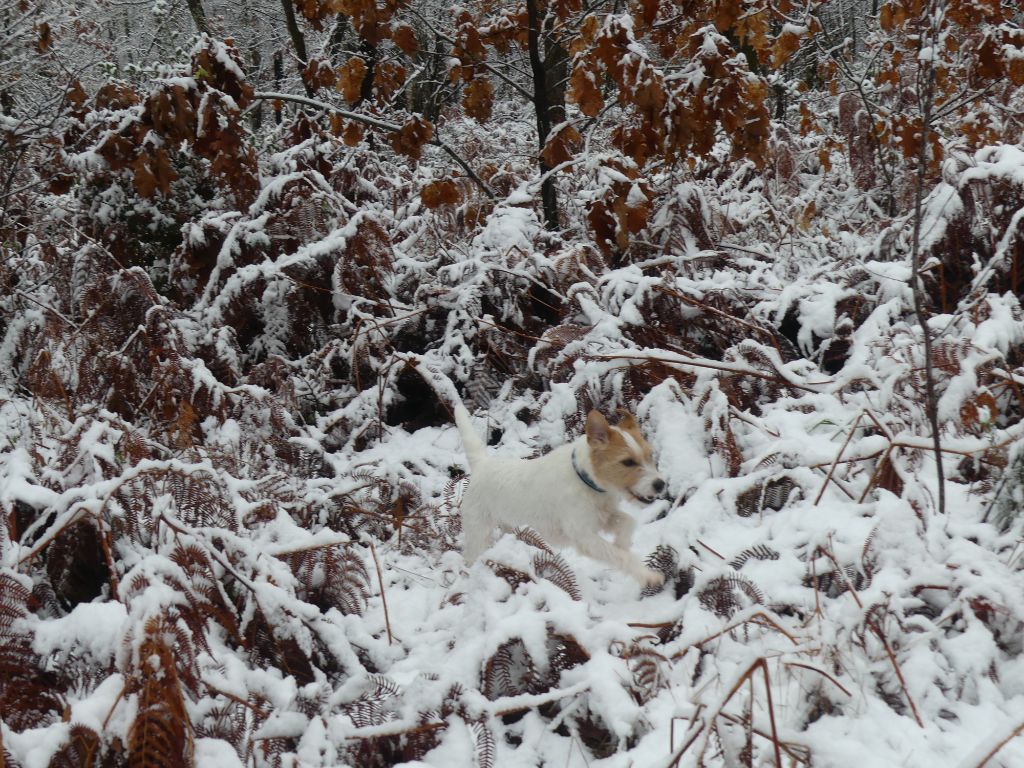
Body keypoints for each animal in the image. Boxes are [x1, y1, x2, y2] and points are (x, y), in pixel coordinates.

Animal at [452, 399, 667, 585]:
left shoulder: (604, 516)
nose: (660, 484)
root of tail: (482, 463)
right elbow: (619, 556)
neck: (584, 479)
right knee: (469, 558)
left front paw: (622, 542)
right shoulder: (584, 537)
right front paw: (646, 575)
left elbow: (627, 522)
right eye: (627, 462)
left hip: (506, 525)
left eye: (650, 455)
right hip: (478, 532)